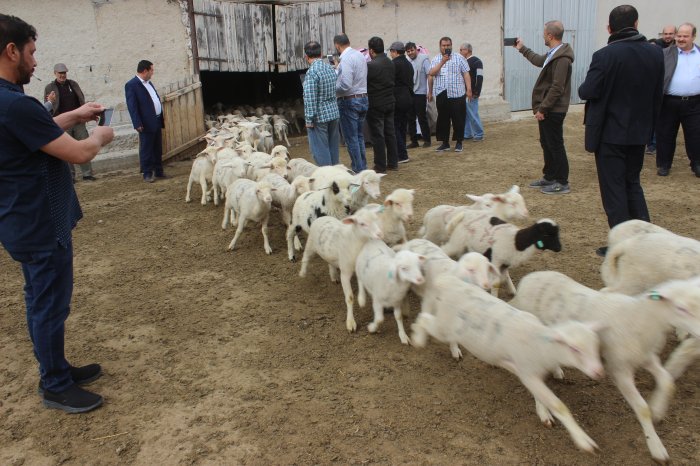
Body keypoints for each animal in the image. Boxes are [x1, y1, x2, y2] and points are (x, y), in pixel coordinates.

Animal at [412, 274, 604, 456]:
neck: (543, 346)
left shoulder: (530, 372)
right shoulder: (528, 373)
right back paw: (418, 339)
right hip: (443, 325)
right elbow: (558, 405)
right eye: (574, 348)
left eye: (596, 344)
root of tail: (448, 281)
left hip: (449, 327)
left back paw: (454, 349)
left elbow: (541, 395)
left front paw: (544, 409)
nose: (599, 372)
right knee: (423, 318)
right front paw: (583, 440)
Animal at [512, 272, 700, 464]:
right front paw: (657, 447)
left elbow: (668, 382)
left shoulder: (646, 357)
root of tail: (528, 278)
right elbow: (642, 409)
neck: (638, 321)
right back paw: (543, 411)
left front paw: (658, 409)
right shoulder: (619, 369)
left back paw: (556, 371)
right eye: (681, 308)